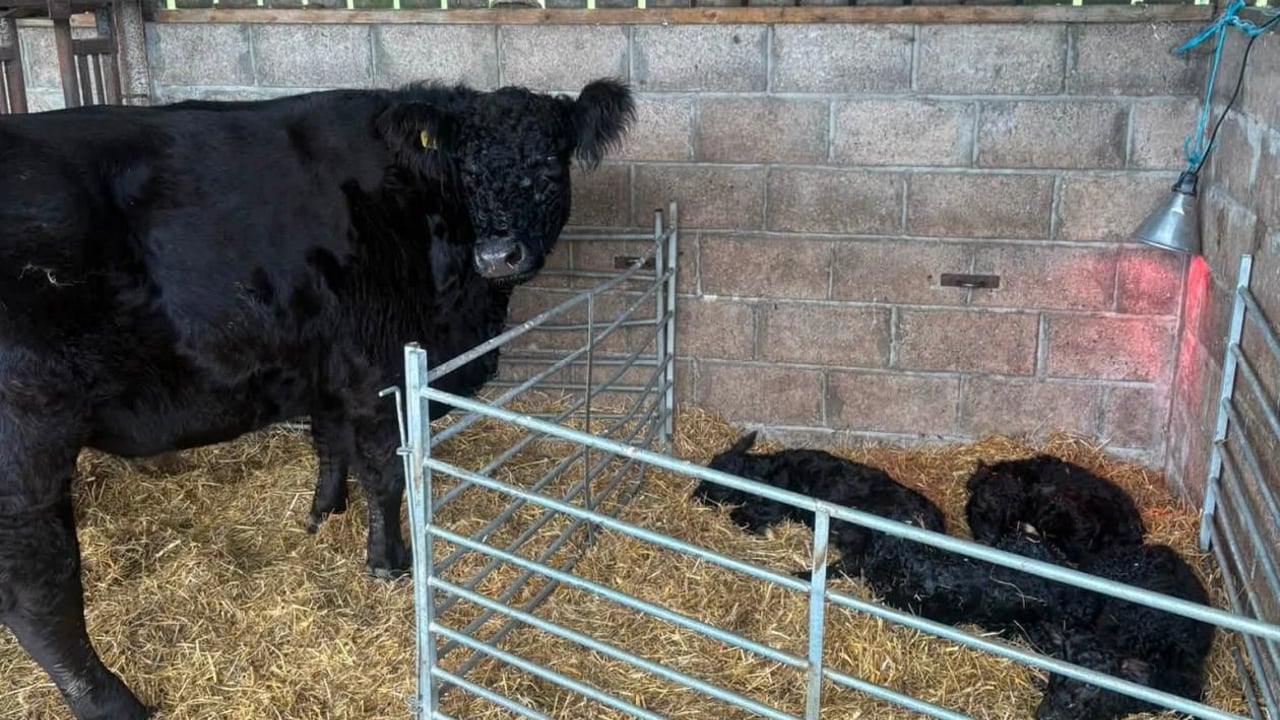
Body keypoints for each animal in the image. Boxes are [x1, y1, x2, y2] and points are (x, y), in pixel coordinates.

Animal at [0, 77, 635, 720]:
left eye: (551, 162)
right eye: (467, 168)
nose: (498, 254)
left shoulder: (325, 365)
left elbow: (329, 442)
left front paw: (324, 512)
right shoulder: (378, 371)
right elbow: (384, 472)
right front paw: (387, 560)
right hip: (27, 445)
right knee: (38, 589)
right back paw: (110, 701)